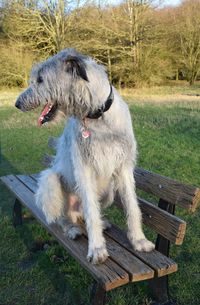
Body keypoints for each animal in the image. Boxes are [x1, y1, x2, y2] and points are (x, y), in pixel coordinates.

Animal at [15, 48, 155, 262]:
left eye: (40, 79)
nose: (17, 103)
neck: (98, 117)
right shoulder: (84, 168)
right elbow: (91, 211)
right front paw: (97, 248)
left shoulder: (123, 166)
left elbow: (132, 205)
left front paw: (139, 240)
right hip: (50, 182)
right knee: (61, 216)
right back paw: (71, 228)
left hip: (109, 191)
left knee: (86, 212)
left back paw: (100, 223)